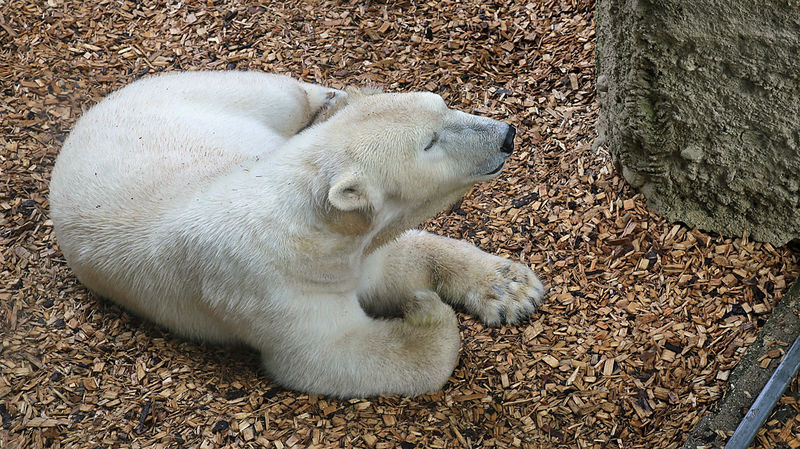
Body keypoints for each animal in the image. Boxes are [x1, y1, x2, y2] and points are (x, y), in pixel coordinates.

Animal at [50, 70, 548, 396]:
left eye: (444, 105)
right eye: (429, 142)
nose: (506, 134)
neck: (304, 231)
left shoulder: (350, 252)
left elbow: (401, 258)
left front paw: (512, 288)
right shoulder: (271, 287)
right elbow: (332, 355)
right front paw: (425, 311)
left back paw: (336, 97)